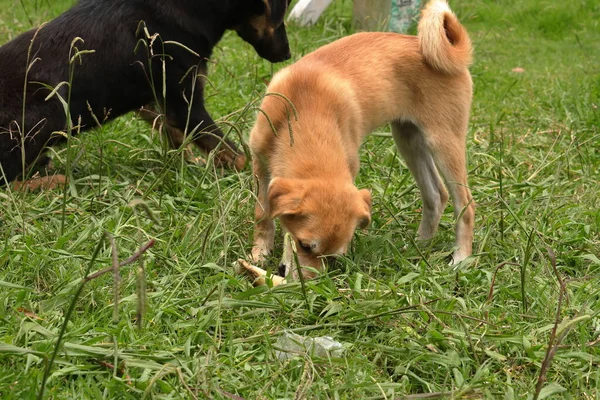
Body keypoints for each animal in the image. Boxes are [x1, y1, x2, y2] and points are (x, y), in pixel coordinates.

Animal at [0, 0, 290, 184]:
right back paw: (52, 182)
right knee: (8, 184)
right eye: (282, 10)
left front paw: (188, 164)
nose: (288, 55)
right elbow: (235, 153)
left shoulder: (157, 102)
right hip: (48, 110)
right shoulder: (184, 104)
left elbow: (177, 138)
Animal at [248, 0, 474, 276]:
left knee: (465, 204)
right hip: (409, 140)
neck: (306, 107)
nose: (308, 285)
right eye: (303, 244)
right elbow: (262, 214)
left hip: (444, 142)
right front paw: (259, 253)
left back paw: (462, 258)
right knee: (435, 194)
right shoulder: (260, 164)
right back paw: (419, 245)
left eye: (333, 257)